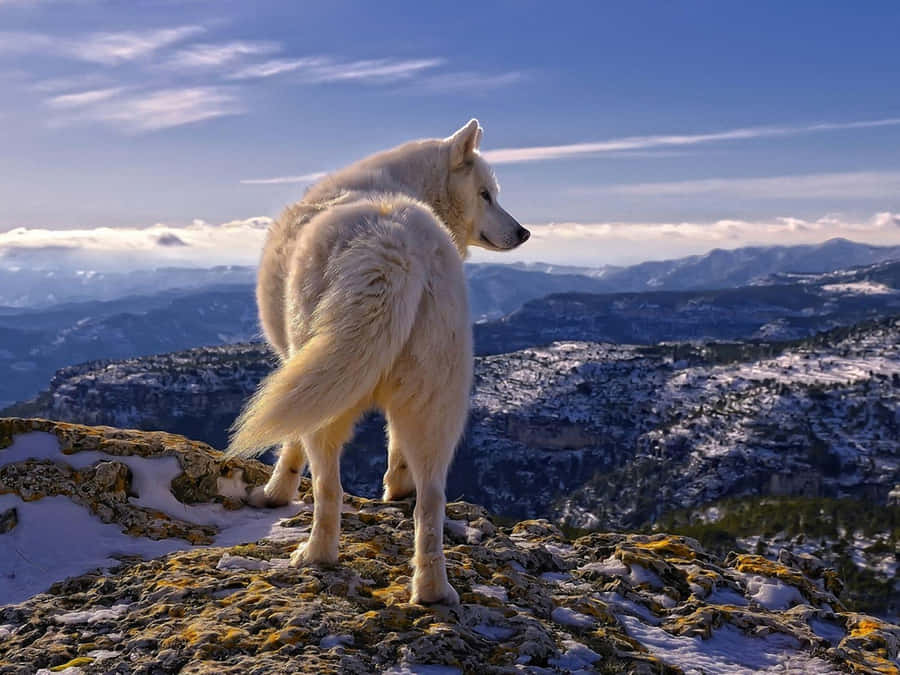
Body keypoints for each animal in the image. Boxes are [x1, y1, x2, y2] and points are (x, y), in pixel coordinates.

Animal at [227, 119, 529, 604]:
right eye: (486, 194)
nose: (524, 233)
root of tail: (394, 246)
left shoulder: (297, 365)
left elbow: (289, 445)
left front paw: (274, 494)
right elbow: (394, 447)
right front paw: (396, 487)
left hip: (330, 395)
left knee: (329, 487)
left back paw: (315, 555)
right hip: (436, 401)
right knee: (432, 499)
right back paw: (432, 589)